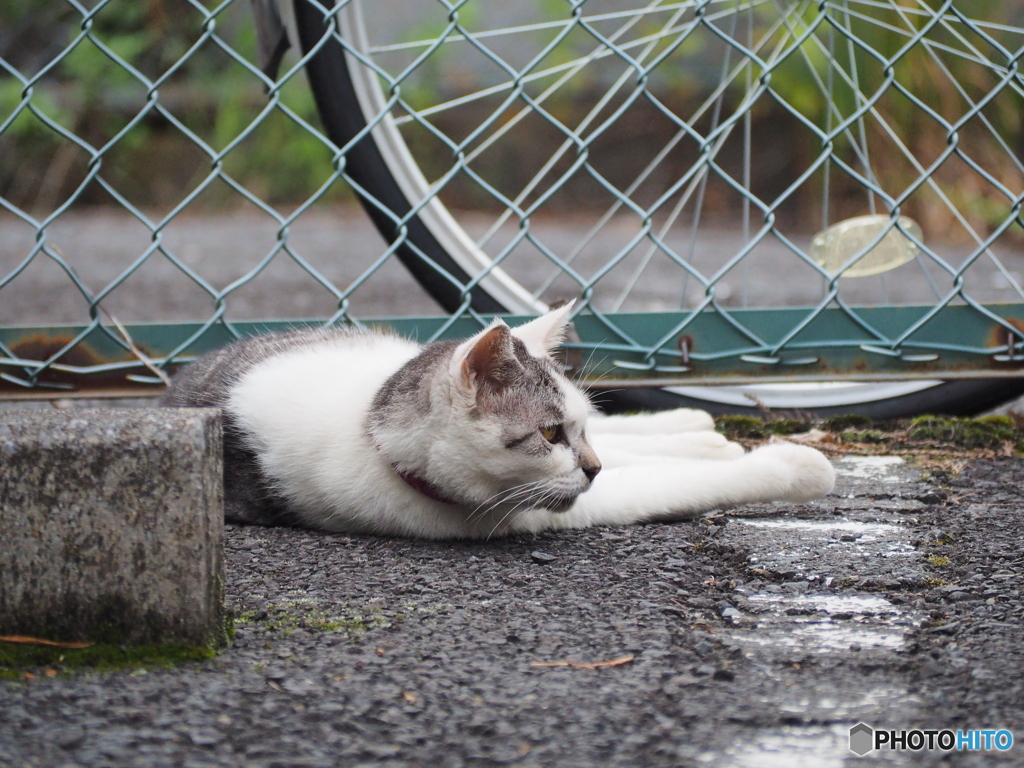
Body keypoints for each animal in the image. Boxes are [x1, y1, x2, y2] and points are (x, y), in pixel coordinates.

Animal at [159, 305, 831, 540]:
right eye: (551, 434)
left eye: (577, 426)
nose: (591, 465)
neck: (368, 423)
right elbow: (672, 482)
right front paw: (795, 464)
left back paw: (690, 422)